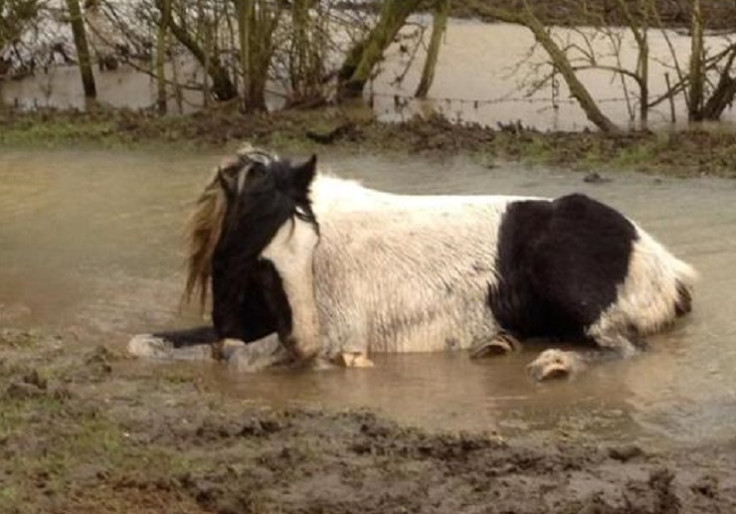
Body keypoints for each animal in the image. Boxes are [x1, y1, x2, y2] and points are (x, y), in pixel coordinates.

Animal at [129, 146, 700, 378]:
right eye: (256, 254)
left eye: (311, 247)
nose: (307, 344)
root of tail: (666, 265)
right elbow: (148, 343)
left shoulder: (336, 332)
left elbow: (238, 359)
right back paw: (498, 345)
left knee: (622, 349)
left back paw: (554, 364)